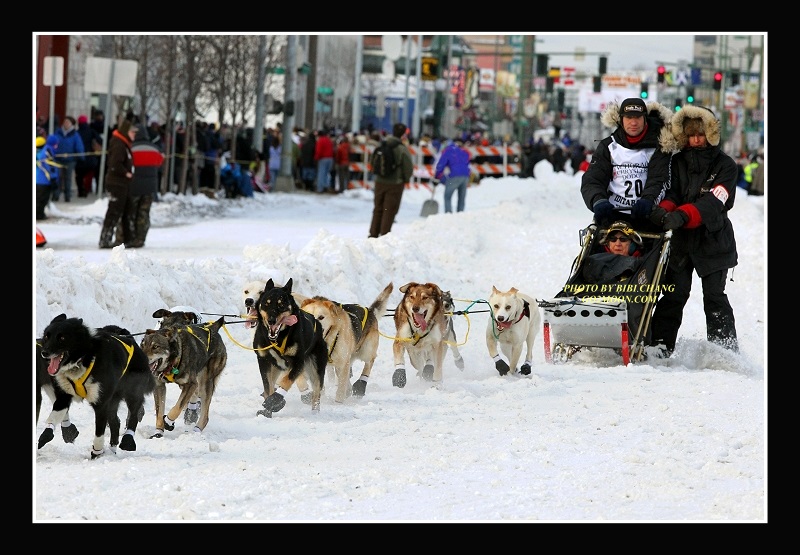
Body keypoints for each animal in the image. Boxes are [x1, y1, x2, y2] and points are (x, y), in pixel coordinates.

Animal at [38, 314, 156, 458]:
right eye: (47, 336)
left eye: (62, 337)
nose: (44, 352)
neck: (83, 359)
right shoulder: (63, 397)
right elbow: (52, 418)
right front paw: (43, 438)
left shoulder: (101, 404)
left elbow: (99, 434)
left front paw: (96, 453)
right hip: (112, 401)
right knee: (115, 423)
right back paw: (112, 451)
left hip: (132, 392)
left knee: (133, 414)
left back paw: (128, 440)